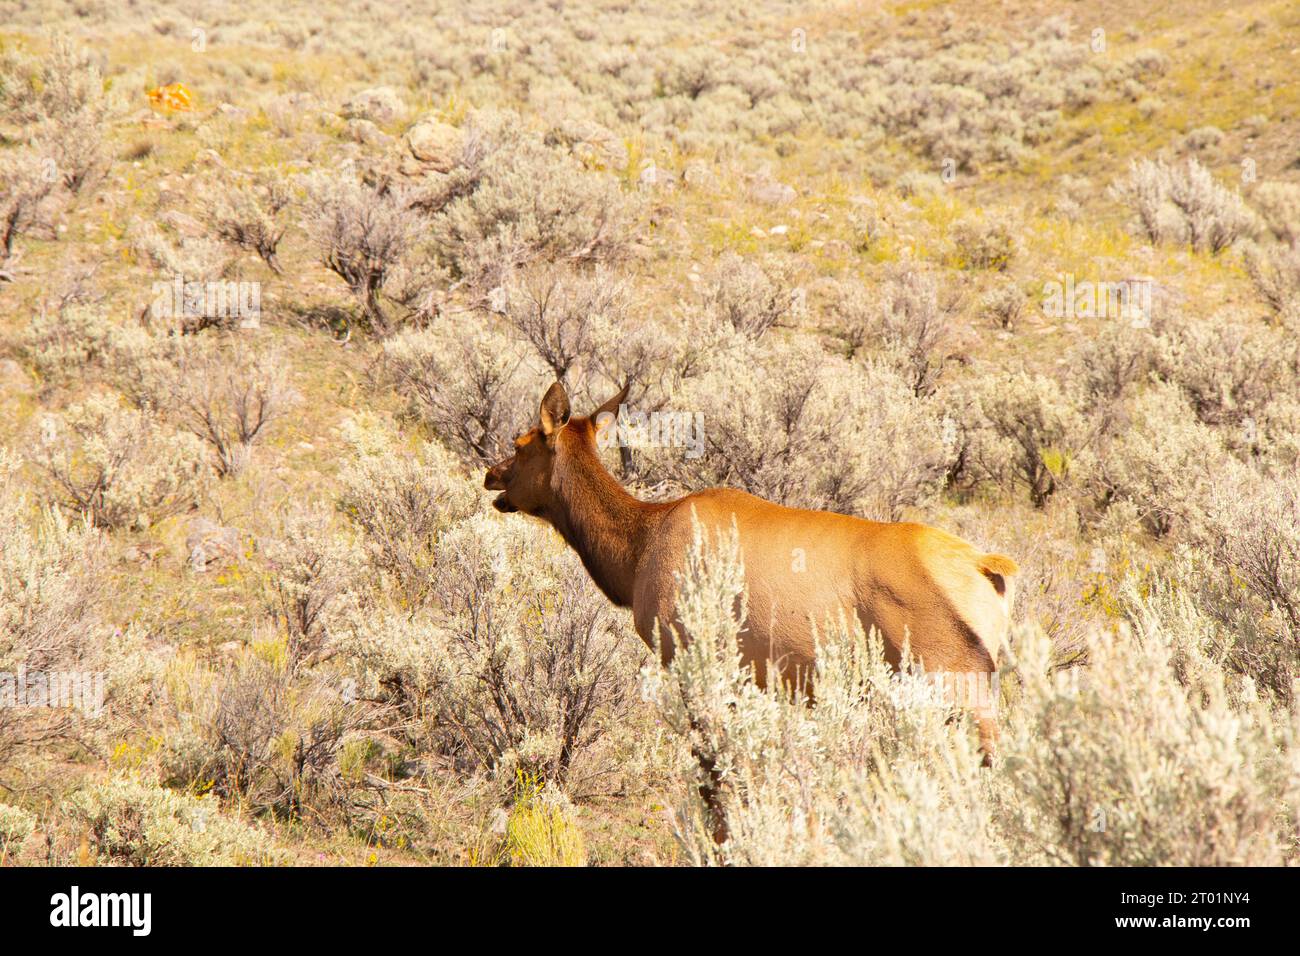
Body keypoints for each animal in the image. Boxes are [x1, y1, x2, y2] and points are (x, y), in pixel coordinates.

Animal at [483, 382, 1019, 822]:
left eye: (520, 444)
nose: (491, 475)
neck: (632, 556)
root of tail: (988, 568)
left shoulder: (689, 657)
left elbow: (714, 780)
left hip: (956, 680)